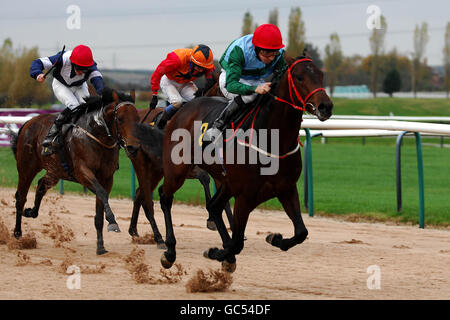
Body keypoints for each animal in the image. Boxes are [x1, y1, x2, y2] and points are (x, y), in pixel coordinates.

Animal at [9, 87, 140, 255]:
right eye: (120, 119)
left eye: (137, 118)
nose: (133, 147)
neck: (96, 134)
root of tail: (28, 122)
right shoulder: (83, 172)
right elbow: (102, 193)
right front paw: (112, 222)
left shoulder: (107, 177)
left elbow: (100, 207)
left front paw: (100, 246)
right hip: (26, 168)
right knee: (21, 197)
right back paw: (18, 233)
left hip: (55, 170)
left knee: (41, 185)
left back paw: (31, 212)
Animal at [137, 53, 334, 272]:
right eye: (299, 77)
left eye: (321, 75)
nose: (326, 106)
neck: (273, 139)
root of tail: (184, 108)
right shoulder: (245, 195)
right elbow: (237, 242)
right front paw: (216, 252)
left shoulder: (285, 188)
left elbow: (301, 232)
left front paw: (274, 238)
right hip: (177, 169)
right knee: (165, 196)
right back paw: (170, 251)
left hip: (225, 181)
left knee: (213, 206)